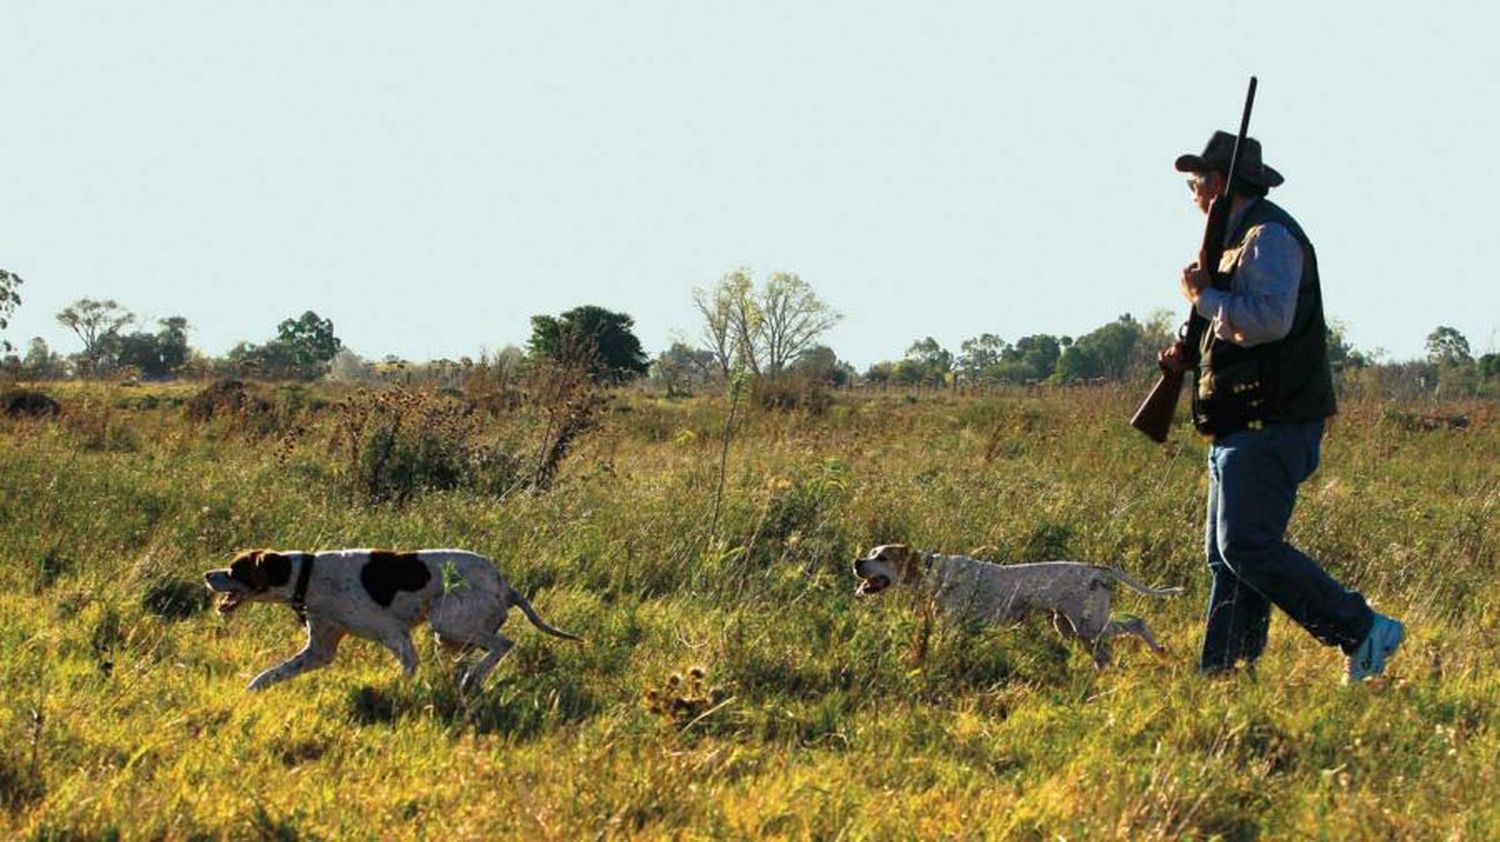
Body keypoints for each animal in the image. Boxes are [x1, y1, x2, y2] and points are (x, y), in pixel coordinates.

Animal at [208, 546, 582, 690]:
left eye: (234, 569)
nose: (207, 575)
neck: (307, 576)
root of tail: (504, 584)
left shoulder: (395, 636)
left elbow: (407, 669)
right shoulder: (319, 652)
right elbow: (274, 673)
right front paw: (252, 690)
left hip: (448, 621)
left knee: (503, 644)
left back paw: (472, 677)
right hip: (450, 635)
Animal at [858, 546, 1182, 663]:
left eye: (882, 557)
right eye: (871, 552)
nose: (856, 562)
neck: (935, 573)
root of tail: (1096, 569)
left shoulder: (951, 626)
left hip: (1088, 624)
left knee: (1137, 622)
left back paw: (1159, 650)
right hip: (1070, 627)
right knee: (1104, 654)